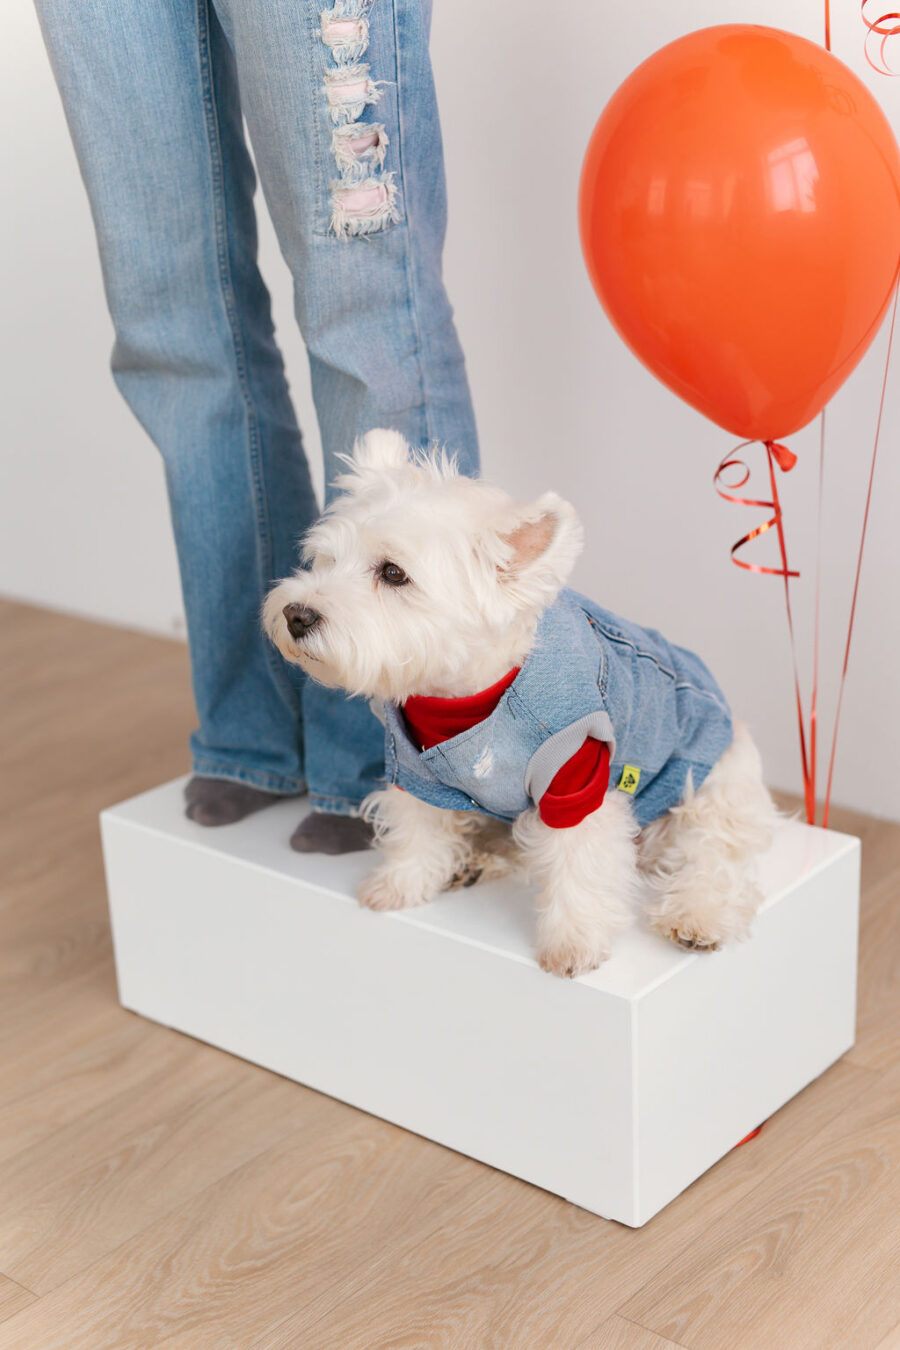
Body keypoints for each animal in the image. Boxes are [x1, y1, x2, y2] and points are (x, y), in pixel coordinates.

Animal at [264, 432, 777, 982]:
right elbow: (416, 830)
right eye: (323, 559)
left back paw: (697, 917)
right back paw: (476, 860)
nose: (295, 615)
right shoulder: (414, 771)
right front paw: (398, 885)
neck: (466, 696)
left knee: (714, 856)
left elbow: (579, 864)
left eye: (394, 573)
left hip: (709, 788)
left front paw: (573, 943)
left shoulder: (576, 775)